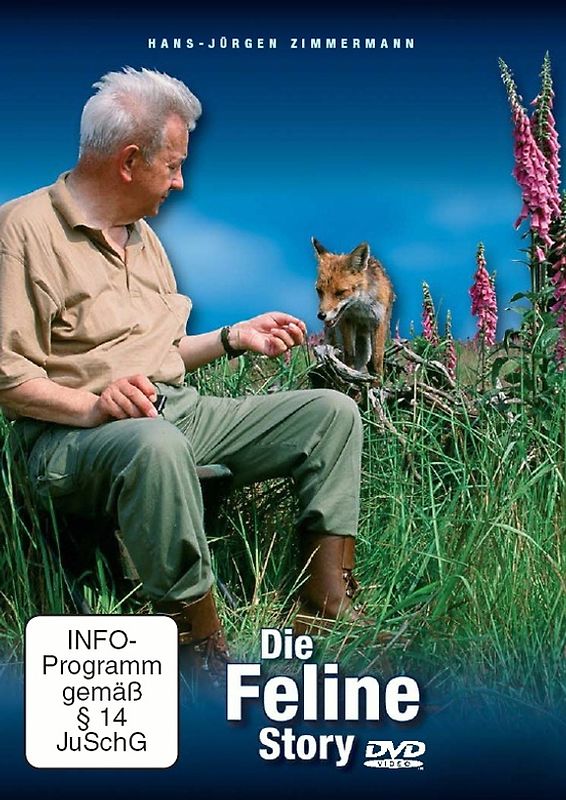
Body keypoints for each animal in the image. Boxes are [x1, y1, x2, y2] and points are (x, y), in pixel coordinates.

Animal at [312, 237, 395, 378]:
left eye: (340, 292)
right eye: (319, 291)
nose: (321, 315)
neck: (361, 308)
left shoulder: (380, 322)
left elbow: (377, 359)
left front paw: (378, 381)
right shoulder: (347, 321)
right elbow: (349, 354)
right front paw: (349, 374)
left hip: (365, 344)